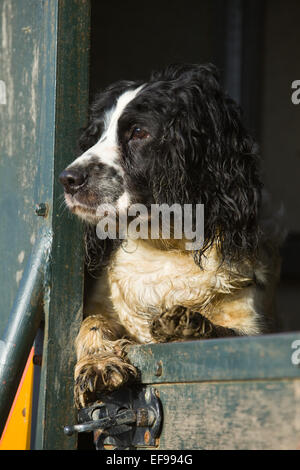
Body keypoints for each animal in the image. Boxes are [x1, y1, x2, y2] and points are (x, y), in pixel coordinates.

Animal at [59, 63, 282, 408]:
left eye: (139, 132)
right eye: (95, 136)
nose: (68, 179)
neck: (166, 245)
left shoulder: (252, 326)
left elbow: (228, 335)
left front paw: (189, 326)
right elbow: (92, 322)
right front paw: (99, 362)